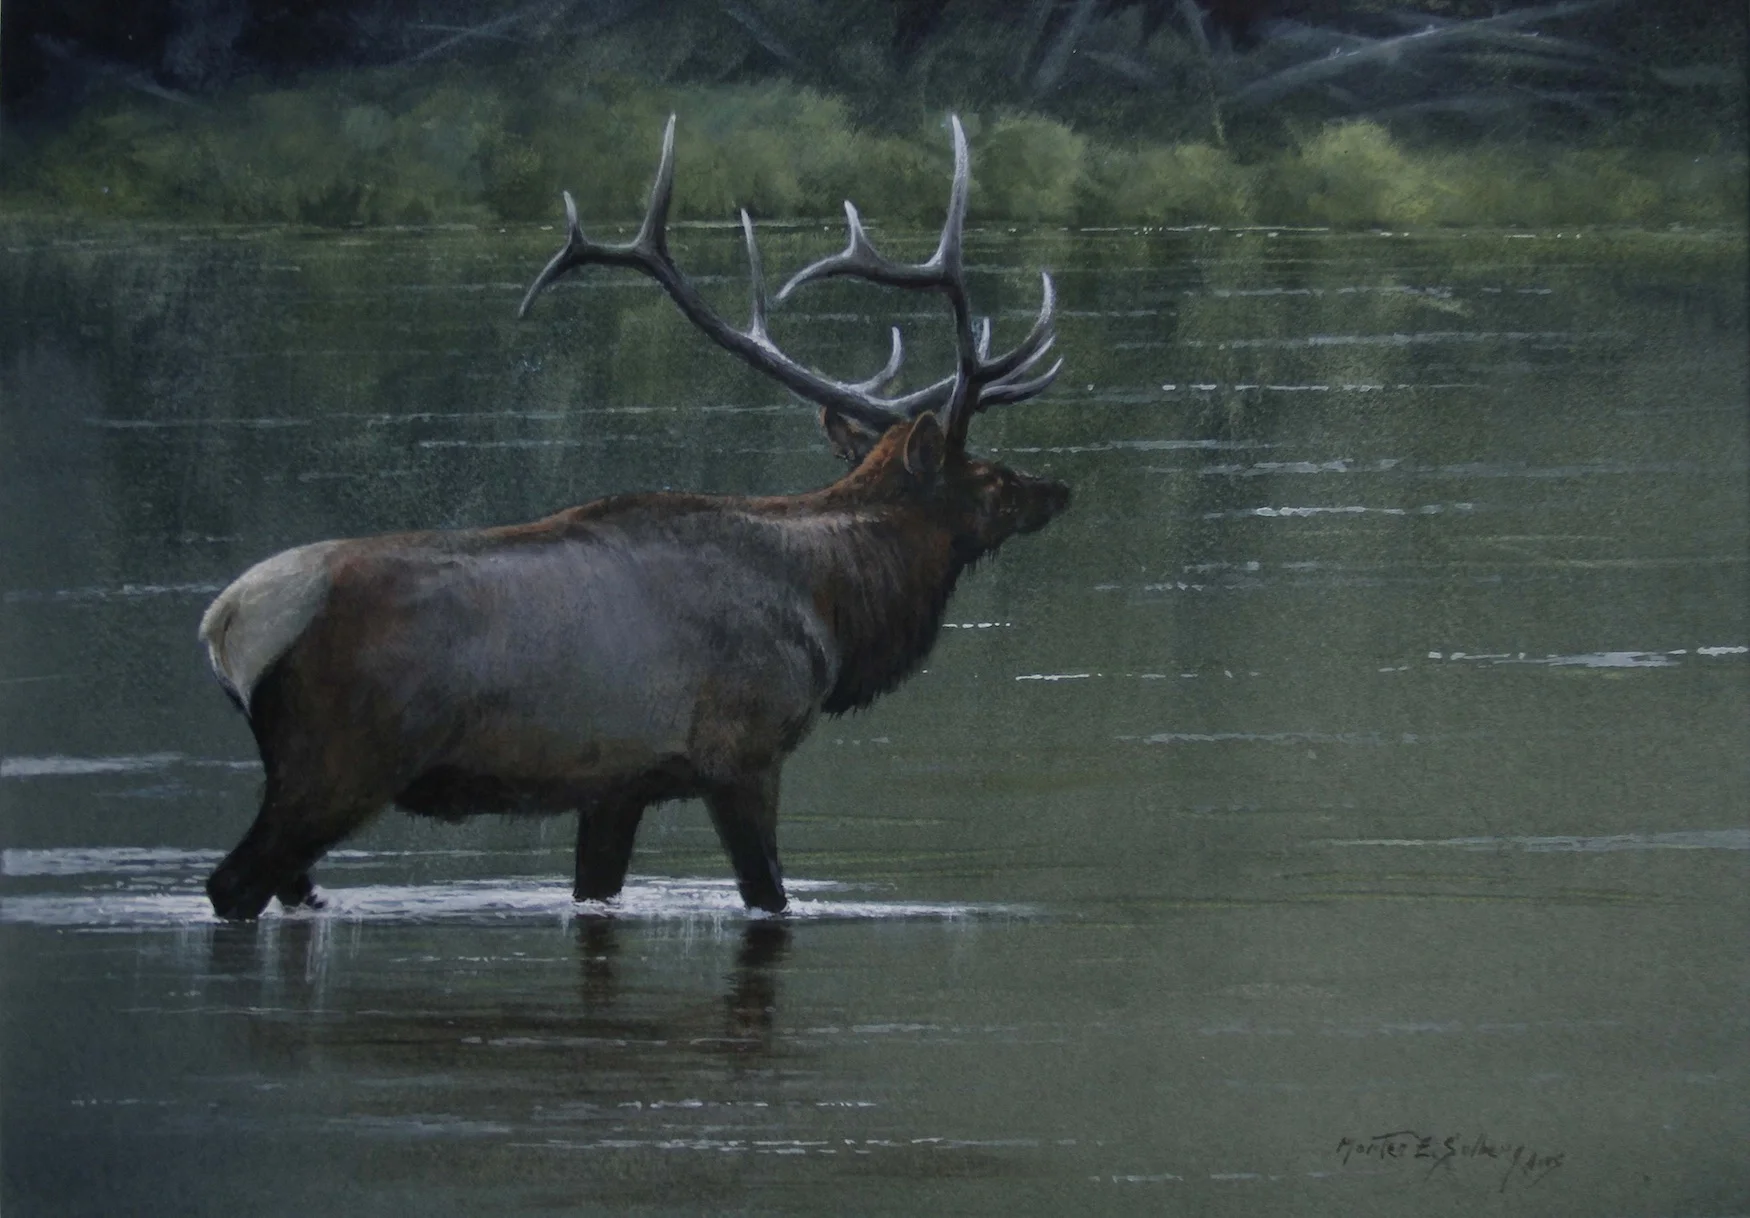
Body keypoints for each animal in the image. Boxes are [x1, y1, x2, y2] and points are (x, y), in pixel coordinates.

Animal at [198, 115, 1070, 920]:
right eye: (990, 476)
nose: (1057, 489)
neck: (829, 605)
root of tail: (226, 623)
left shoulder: (618, 783)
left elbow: (597, 890)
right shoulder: (742, 749)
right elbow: (769, 894)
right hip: (338, 762)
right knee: (232, 884)